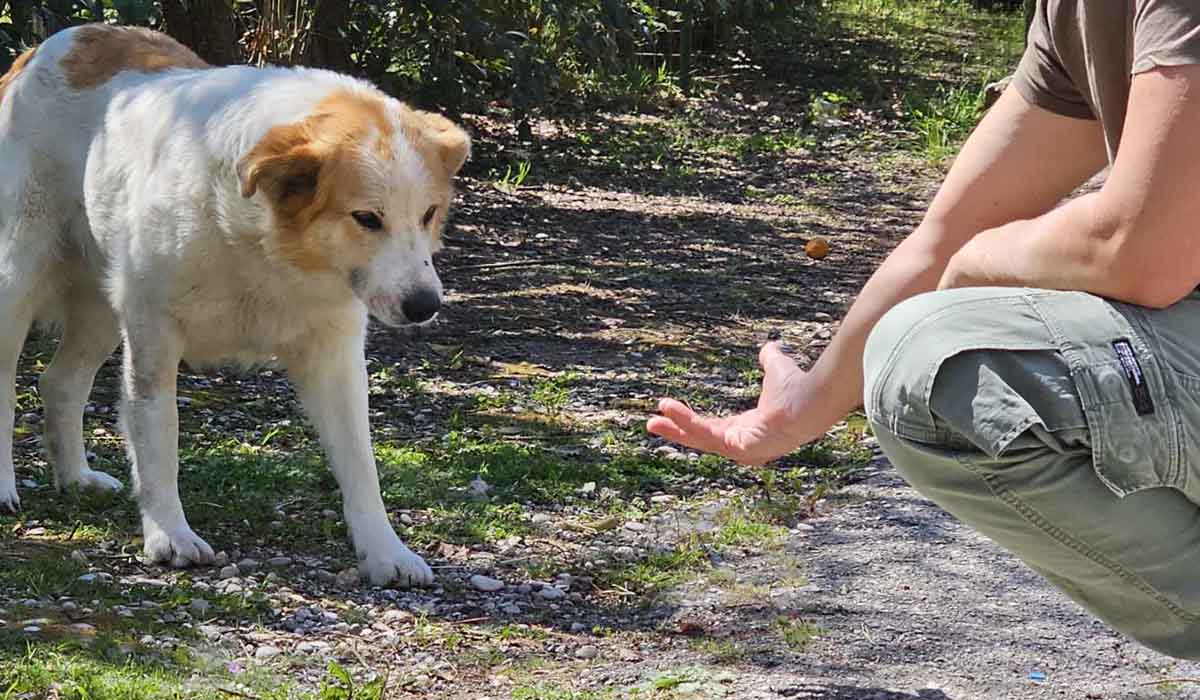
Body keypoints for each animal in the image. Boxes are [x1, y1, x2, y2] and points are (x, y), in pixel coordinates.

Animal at [1, 23, 472, 585]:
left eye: (429, 214)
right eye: (366, 218)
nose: (426, 305)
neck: (265, 245)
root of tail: (53, 45)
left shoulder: (335, 357)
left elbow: (362, 464)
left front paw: (385, 551)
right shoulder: (154, 338)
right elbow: (159, 441)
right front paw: (169, 535)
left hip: (100, 306)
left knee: (59, 382)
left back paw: (75, 477)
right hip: (16, 280)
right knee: (7, 382)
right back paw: (4, 487)